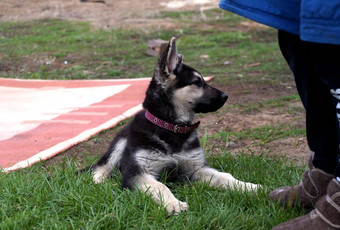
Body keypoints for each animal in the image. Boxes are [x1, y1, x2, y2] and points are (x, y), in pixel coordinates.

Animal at [86, 37, 258, 214]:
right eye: (196, 82)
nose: (225, 96)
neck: (171, 127)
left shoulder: (195, 168)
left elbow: (224, 176)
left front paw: (248, 187)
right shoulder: (137, 173)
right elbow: (160, 186)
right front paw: (174, 204)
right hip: (120, 142)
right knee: (100, 167)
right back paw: (100, 182)